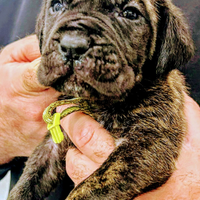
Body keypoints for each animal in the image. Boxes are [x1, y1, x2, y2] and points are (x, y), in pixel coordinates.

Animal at [7, 0, 194, 200]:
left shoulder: (149, 142)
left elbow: (92, 186)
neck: (99, 103)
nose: (72, 45)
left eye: (130, 13)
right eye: (57, 6)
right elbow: (31, 175)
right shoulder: (53, 144)